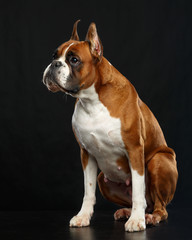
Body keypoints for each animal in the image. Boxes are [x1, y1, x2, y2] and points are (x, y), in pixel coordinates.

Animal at [42, 21, 178, 232]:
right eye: (54, 56)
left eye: (74, 60)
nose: (54, 64)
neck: (92, 100)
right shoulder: (86, 154)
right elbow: (88, 191)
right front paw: (83, 216)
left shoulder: (134, 149)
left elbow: (138, 189)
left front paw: (137, 220)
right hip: (102, 180)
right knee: (141, 201)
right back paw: (126, 212)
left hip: (159, 161)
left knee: (159, 206)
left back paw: (150, 216)